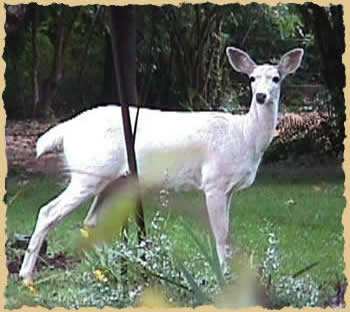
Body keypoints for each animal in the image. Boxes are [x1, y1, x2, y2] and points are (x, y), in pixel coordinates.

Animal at [19, 47, 304, 282]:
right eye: (252, 78)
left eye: (276, 78)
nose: (261, 96)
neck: (244, 137)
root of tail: (66, 130)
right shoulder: (214, 181)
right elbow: (220, 234)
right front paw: (224, 279)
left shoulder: (229, 188)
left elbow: (227, 234)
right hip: (89, 173)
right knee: (48, 211)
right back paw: (26, 275)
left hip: (111, 180)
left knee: (90, 221)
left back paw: (107, 268)